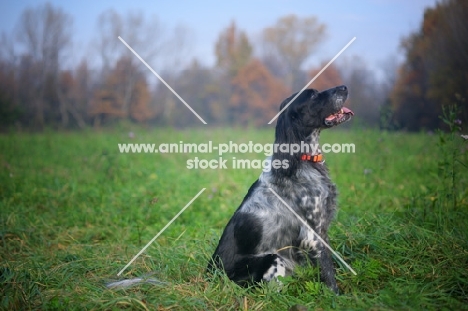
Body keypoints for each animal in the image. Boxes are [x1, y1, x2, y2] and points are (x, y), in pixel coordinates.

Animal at [207, 84, 352, 294]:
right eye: (313, 95)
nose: (344, 87)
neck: (302, 161)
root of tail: (210, 273)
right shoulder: (313, 234)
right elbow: (328, 272)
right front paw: (337, 296)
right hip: (273, 258)